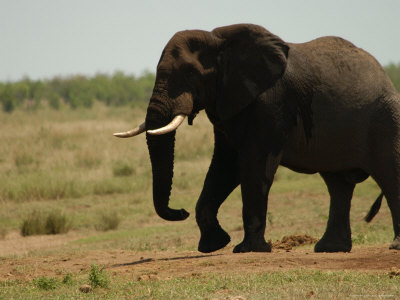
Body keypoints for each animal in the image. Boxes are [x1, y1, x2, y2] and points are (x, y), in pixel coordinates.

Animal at [115, 23, 400, 253]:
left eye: (190, 74)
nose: (179, 211)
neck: (219, 40)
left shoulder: (270, 104)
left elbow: (254, 166)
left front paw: (247, 249)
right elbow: (225, 167)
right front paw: (214, 245)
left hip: (386, 119)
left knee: (388, 176)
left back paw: (392, 246)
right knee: (338, 184)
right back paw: (329, 249)